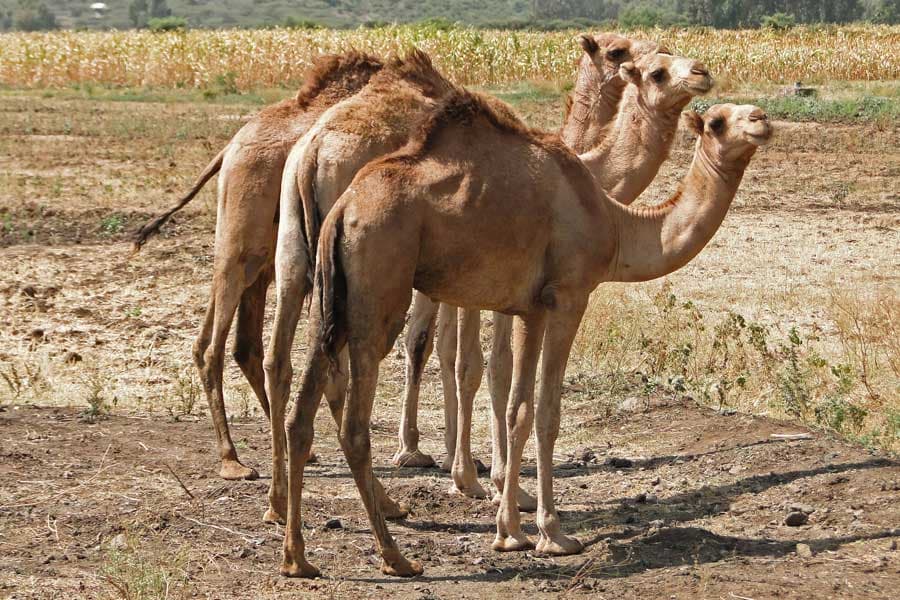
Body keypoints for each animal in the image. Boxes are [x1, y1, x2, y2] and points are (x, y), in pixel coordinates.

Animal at [131, 35, 631, 483]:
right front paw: (448, 460)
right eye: (618, 51)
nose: (644, 61)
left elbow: (442, 349)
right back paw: (236, 461)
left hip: (280, 254)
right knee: (225, 344)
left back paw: (292, 461)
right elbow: (445, 350)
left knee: (262, 350)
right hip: (263, 245)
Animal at [278, 99, 772, 577]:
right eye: (716, 121)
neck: (614, 223)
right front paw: (552, 535)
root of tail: (344, 210)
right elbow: (547, 412)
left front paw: (510, 530)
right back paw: (396, 558)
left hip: (329, 300)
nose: (761, 119)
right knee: (354, 425)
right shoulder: (568, 296)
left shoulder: (529, 307)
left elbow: (518, 409)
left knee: (300, 414)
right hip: (377, 285)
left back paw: (298, 558)